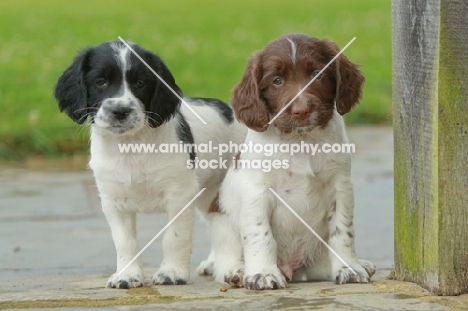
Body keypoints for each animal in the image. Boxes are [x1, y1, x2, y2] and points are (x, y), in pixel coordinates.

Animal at [54, 41, 245, 290]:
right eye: (101, 82)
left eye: (140, 83)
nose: (120, 111)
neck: (131, 147)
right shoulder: (113, 202)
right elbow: (125, 242)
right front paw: (126, 275)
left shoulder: (179, 196)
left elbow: (174, 237)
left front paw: (172, 272)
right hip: (207, 195)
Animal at [207, 33, 372, 290]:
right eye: (277, 80)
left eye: (317, 74)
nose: (301, 110)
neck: (300, 141)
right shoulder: (257, 191)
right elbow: (261, 235)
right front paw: (263, 273)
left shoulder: (341, 187)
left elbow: (343, 231)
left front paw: (349, 268)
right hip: (221, 223)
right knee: (225, 259)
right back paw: (237, 272)